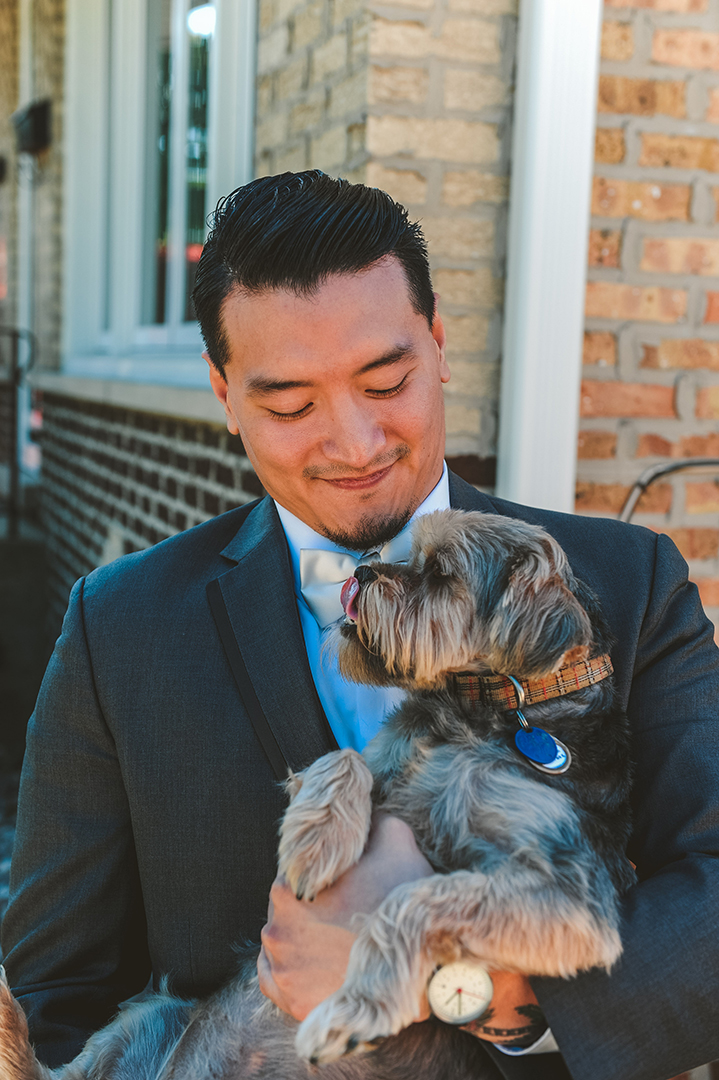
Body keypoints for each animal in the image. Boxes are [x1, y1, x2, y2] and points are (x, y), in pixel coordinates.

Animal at [0, 509, 634, 1075]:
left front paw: (356, 1009)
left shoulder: (571, 899)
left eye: (440, 574)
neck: (481, 709)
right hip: (151, 1013)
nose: (367, 571)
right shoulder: (357, 761)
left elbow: (416, 899)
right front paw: (317, 847)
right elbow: (342, 757)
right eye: (408, 555)